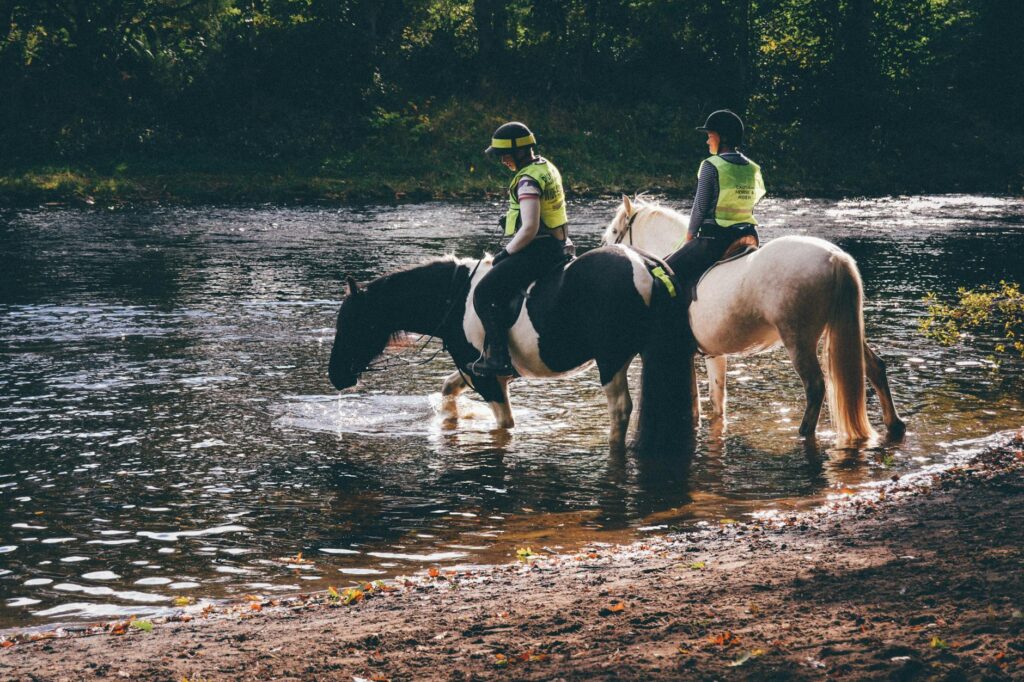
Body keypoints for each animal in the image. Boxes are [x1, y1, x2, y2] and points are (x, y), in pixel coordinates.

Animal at [327, 247, 692, 452]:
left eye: (351, 323)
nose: (335, 376)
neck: (455, 299)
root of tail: (646, 265)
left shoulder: (487, 379)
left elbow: (504, 424)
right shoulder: (478, 369)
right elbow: (448, 389)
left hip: (611, 360)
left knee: (620, 409)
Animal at [602, 195, 906, 445]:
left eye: (614, 233)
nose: (604, 250)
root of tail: (835, 258)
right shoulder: (713, 354)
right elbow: (717, 401)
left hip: (798, 339)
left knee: (815, 387)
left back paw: (804, 433)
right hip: (845, 330)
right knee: (875, 367)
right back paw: (895, 424)